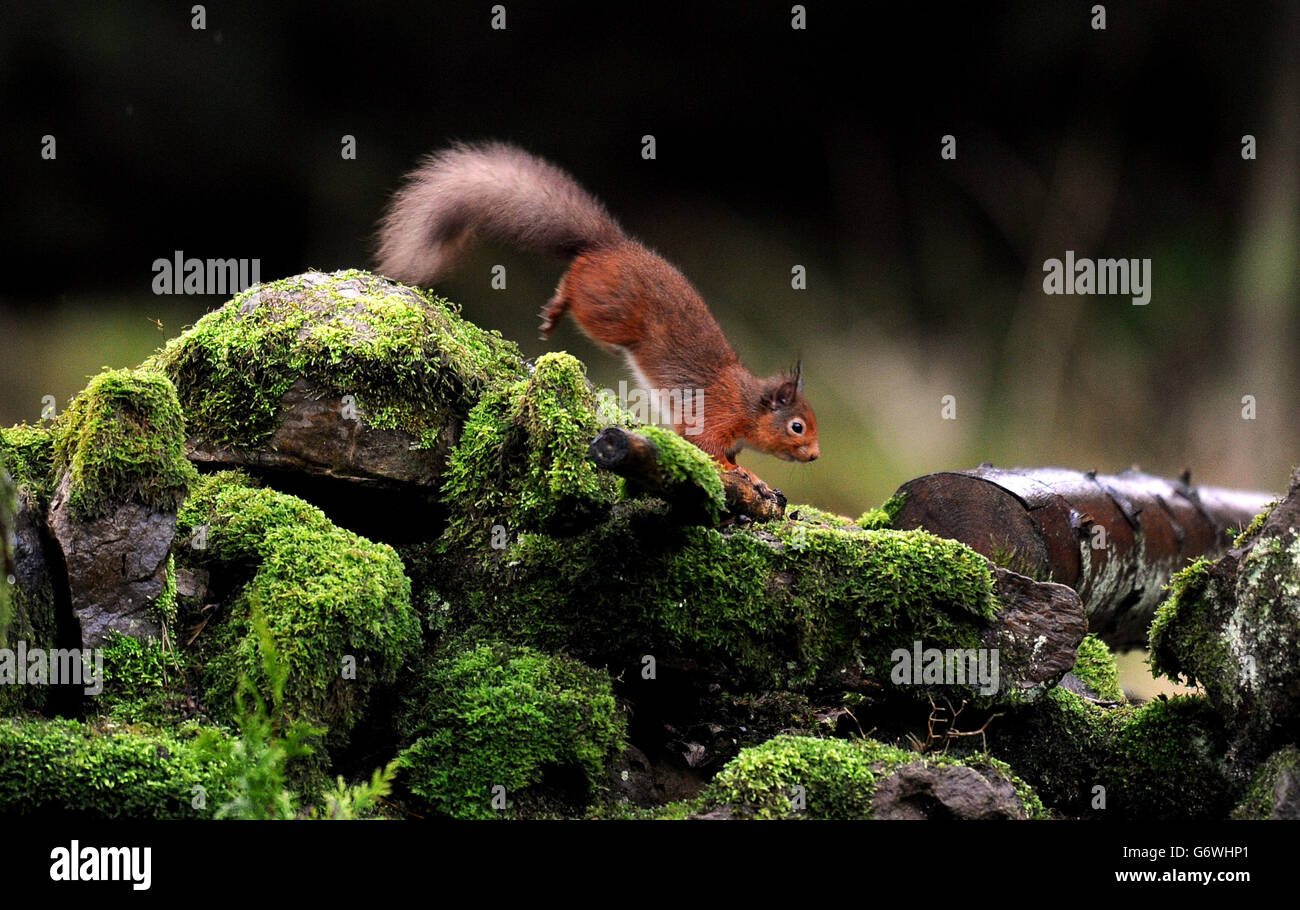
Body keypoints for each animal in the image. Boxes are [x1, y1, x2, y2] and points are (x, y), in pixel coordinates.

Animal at [377, 140, 816, 483]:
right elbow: (709, 451)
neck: (748, 404)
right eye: (796, 427)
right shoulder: (713, 417)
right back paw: (557, 307)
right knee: (575, 287)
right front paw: (742, 473)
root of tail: (608, 245)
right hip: (608, 312)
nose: (815, 456)